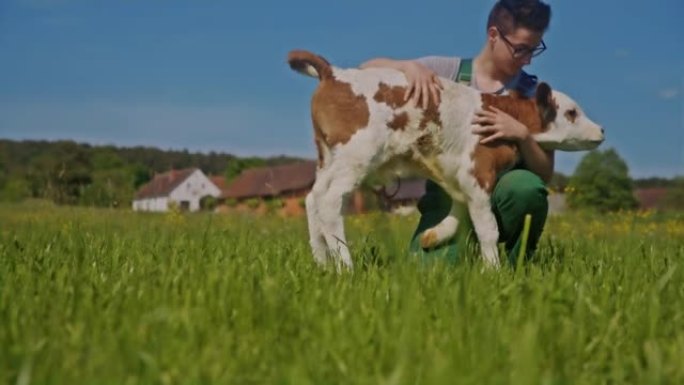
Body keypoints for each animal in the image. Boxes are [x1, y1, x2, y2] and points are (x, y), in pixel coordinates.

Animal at [288, 49, 604, 268]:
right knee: (330, 201)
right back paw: (345, 267)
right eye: (572, 112)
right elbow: (488, 228)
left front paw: (434, 236)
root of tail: (336, 73)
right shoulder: (477, 172)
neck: (506, 113)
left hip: (329, 158)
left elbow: (459, 214)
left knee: (312, 199)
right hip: (357, 156)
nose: (601, 129)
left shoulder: (460, 177)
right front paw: (493, 271)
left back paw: (322, 264)